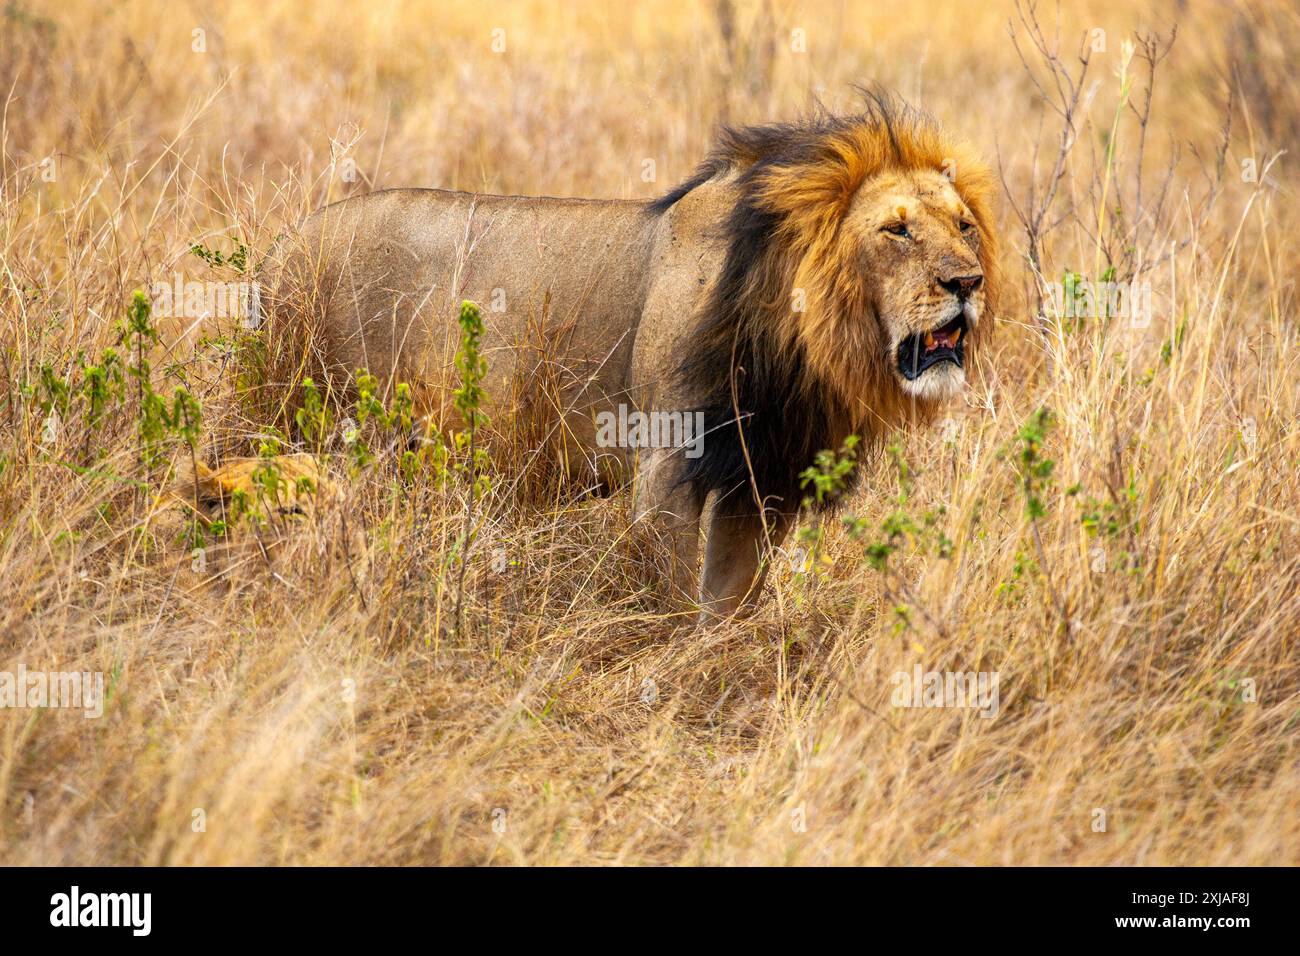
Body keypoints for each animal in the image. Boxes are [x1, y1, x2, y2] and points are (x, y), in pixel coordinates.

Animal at [255, 92, 999, 619]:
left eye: (964, 225)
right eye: (897, 231)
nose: (967, 283)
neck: (797, 336)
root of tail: (282, 248)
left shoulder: (760, 478)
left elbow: (729, 602)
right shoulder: (667, 459)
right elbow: (672, 597)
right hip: (308, 424)